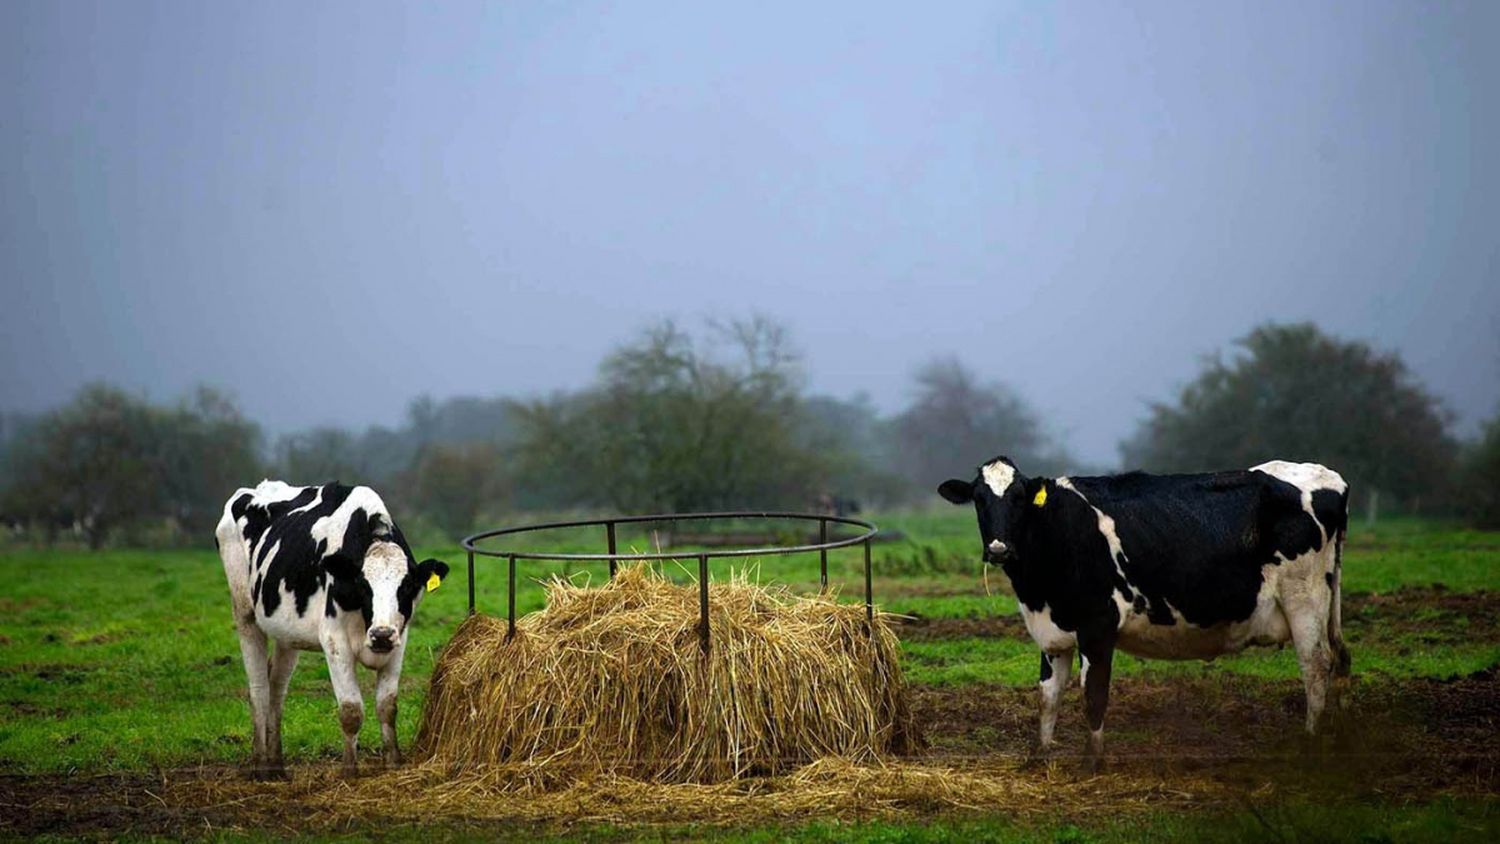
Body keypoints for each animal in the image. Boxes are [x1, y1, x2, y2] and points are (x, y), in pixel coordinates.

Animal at [216, 482, 450, 779]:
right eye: (363, 584)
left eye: (406, 585)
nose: (381, 635)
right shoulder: (334, 639)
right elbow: (351, 710)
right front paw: (349, 771)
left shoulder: (400, 638)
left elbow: (387, 706)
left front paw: (394, 762)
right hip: (245, 614)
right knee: (259, 689)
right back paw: (260, 767)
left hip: (287, 633)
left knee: (277, 688)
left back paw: (277, 765)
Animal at [936, 458, 1350, 767]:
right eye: (978, 499)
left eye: (1020, 497)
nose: (998, 548)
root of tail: (1328, 476)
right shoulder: (1052, 631)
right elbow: (1048, 695)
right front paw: (1039, 756)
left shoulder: (1097, 626)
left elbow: (1094, 694)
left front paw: (1092, 762)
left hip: (1304, 597)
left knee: (1316, 665)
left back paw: (1310, 743)